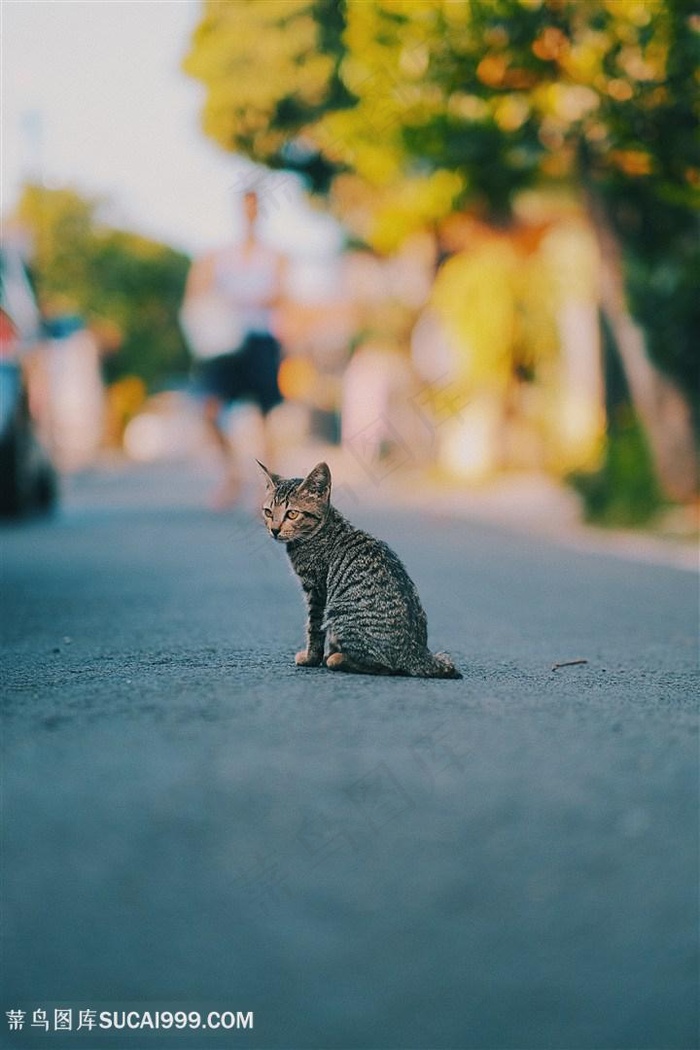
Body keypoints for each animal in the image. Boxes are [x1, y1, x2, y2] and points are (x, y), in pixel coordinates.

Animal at [255, 461, 461, 680]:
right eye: (268, 512)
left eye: (292, 514)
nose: (274, 530)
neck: (321, 530)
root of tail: (415, 650)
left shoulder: (317, 591)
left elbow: (314, 628)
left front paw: (311, 658)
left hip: (339, 610)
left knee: (385, 666)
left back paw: (337, 658)